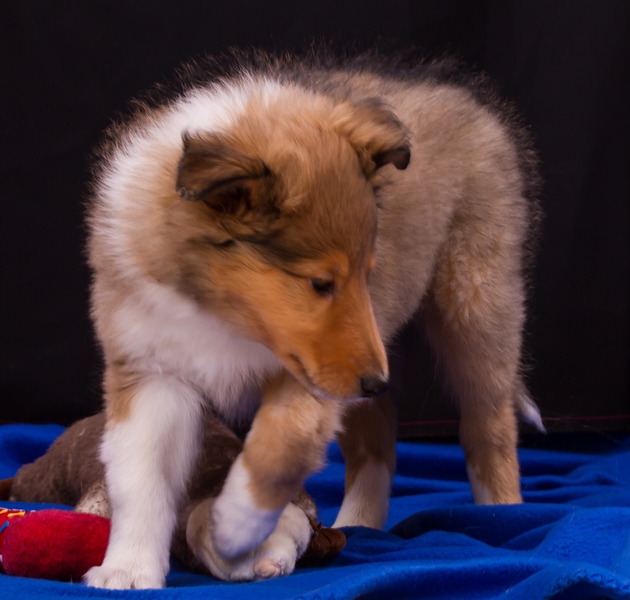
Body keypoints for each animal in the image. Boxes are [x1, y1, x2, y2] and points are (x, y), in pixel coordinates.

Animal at [84, 51, 542, 589]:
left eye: (366, 272)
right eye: (320, 283)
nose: (376, 379)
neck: (225, 312)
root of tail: (468, 101)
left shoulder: (310, 373)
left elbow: (279, 446)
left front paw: (233, 527)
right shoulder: (151, 370)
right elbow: (141, 479)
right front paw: (128, 569)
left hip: (474, 304)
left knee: (489, 424)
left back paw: (504, 514)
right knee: (378, 427)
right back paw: (360, 522)